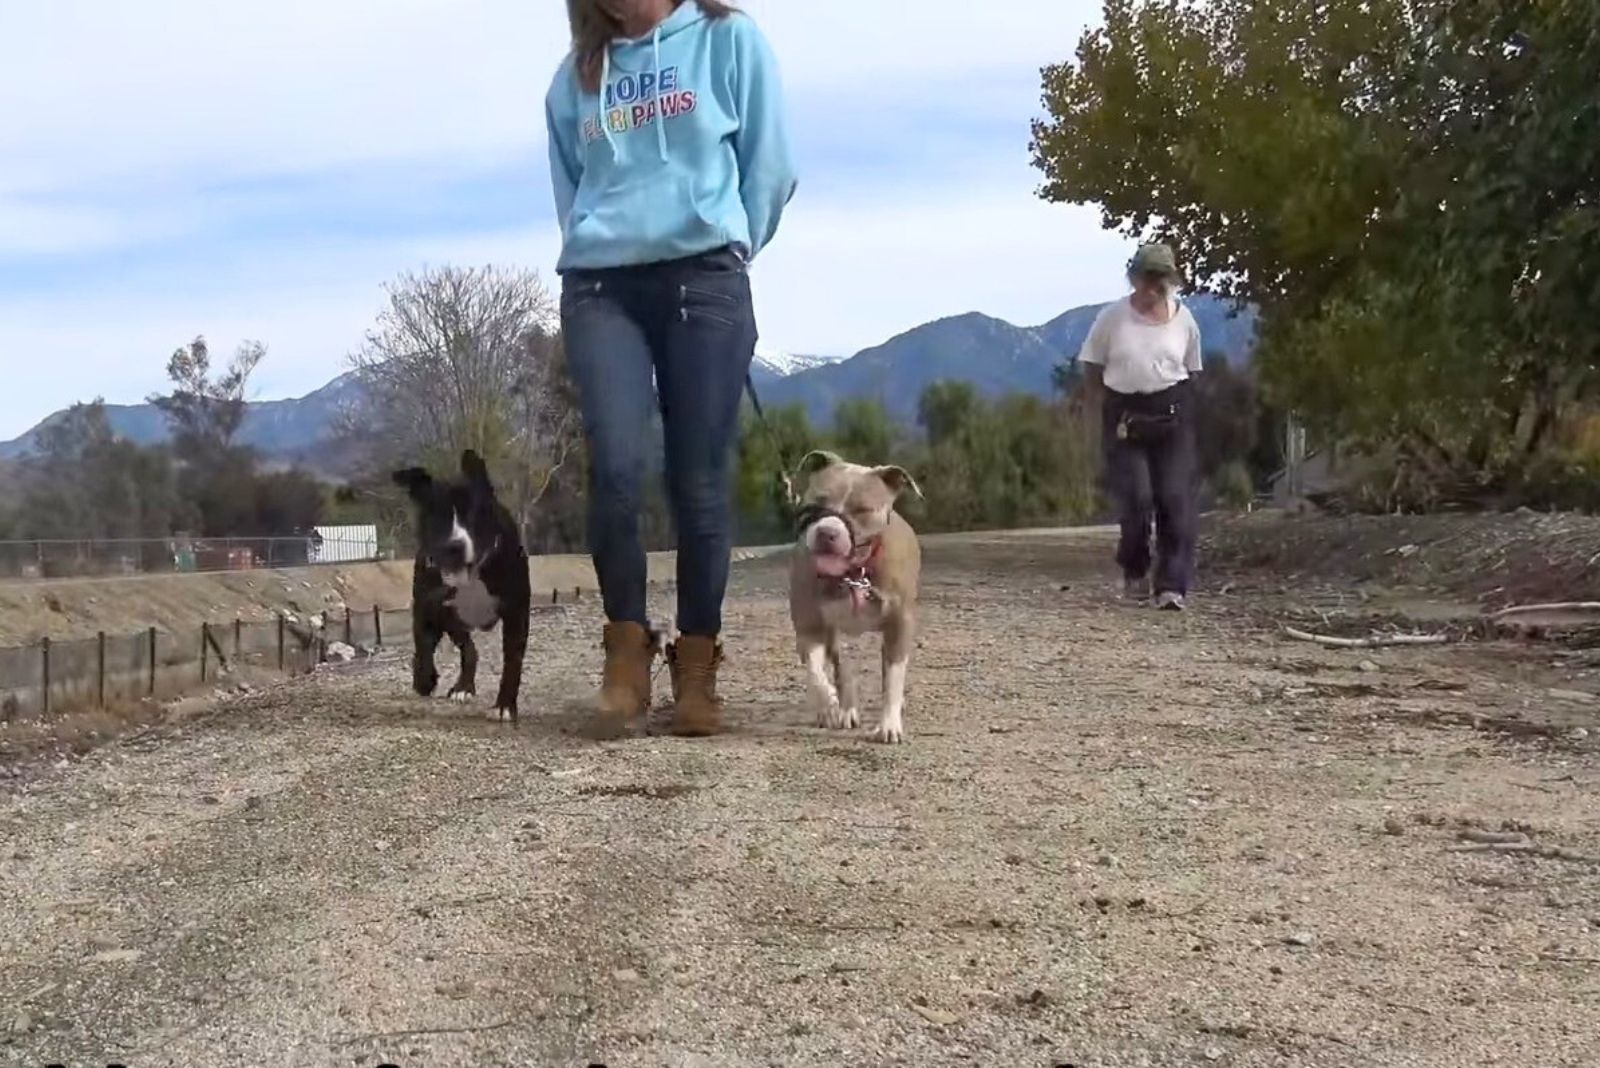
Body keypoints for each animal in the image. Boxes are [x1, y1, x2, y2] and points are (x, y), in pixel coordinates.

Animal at [392, 447, 531, 722]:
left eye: (474, 513)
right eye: (435, 516)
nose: (453, 546)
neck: (472, 575)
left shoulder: (516, 613)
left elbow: (512, 661)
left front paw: (505, 705)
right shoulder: (431, 605)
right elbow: (426, 645)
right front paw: (425, 679)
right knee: (464, 648)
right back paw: (459, 686)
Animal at [790, 450, 928, 741]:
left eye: (862, 510)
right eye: (818, 501)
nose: (827, 532)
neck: (853, 572)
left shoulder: (900, 623)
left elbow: (894, 676)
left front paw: (889, 724)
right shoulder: (809, 625)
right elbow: (816, 673)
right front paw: (830, 703)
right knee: (841, 668)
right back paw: (842, 708)